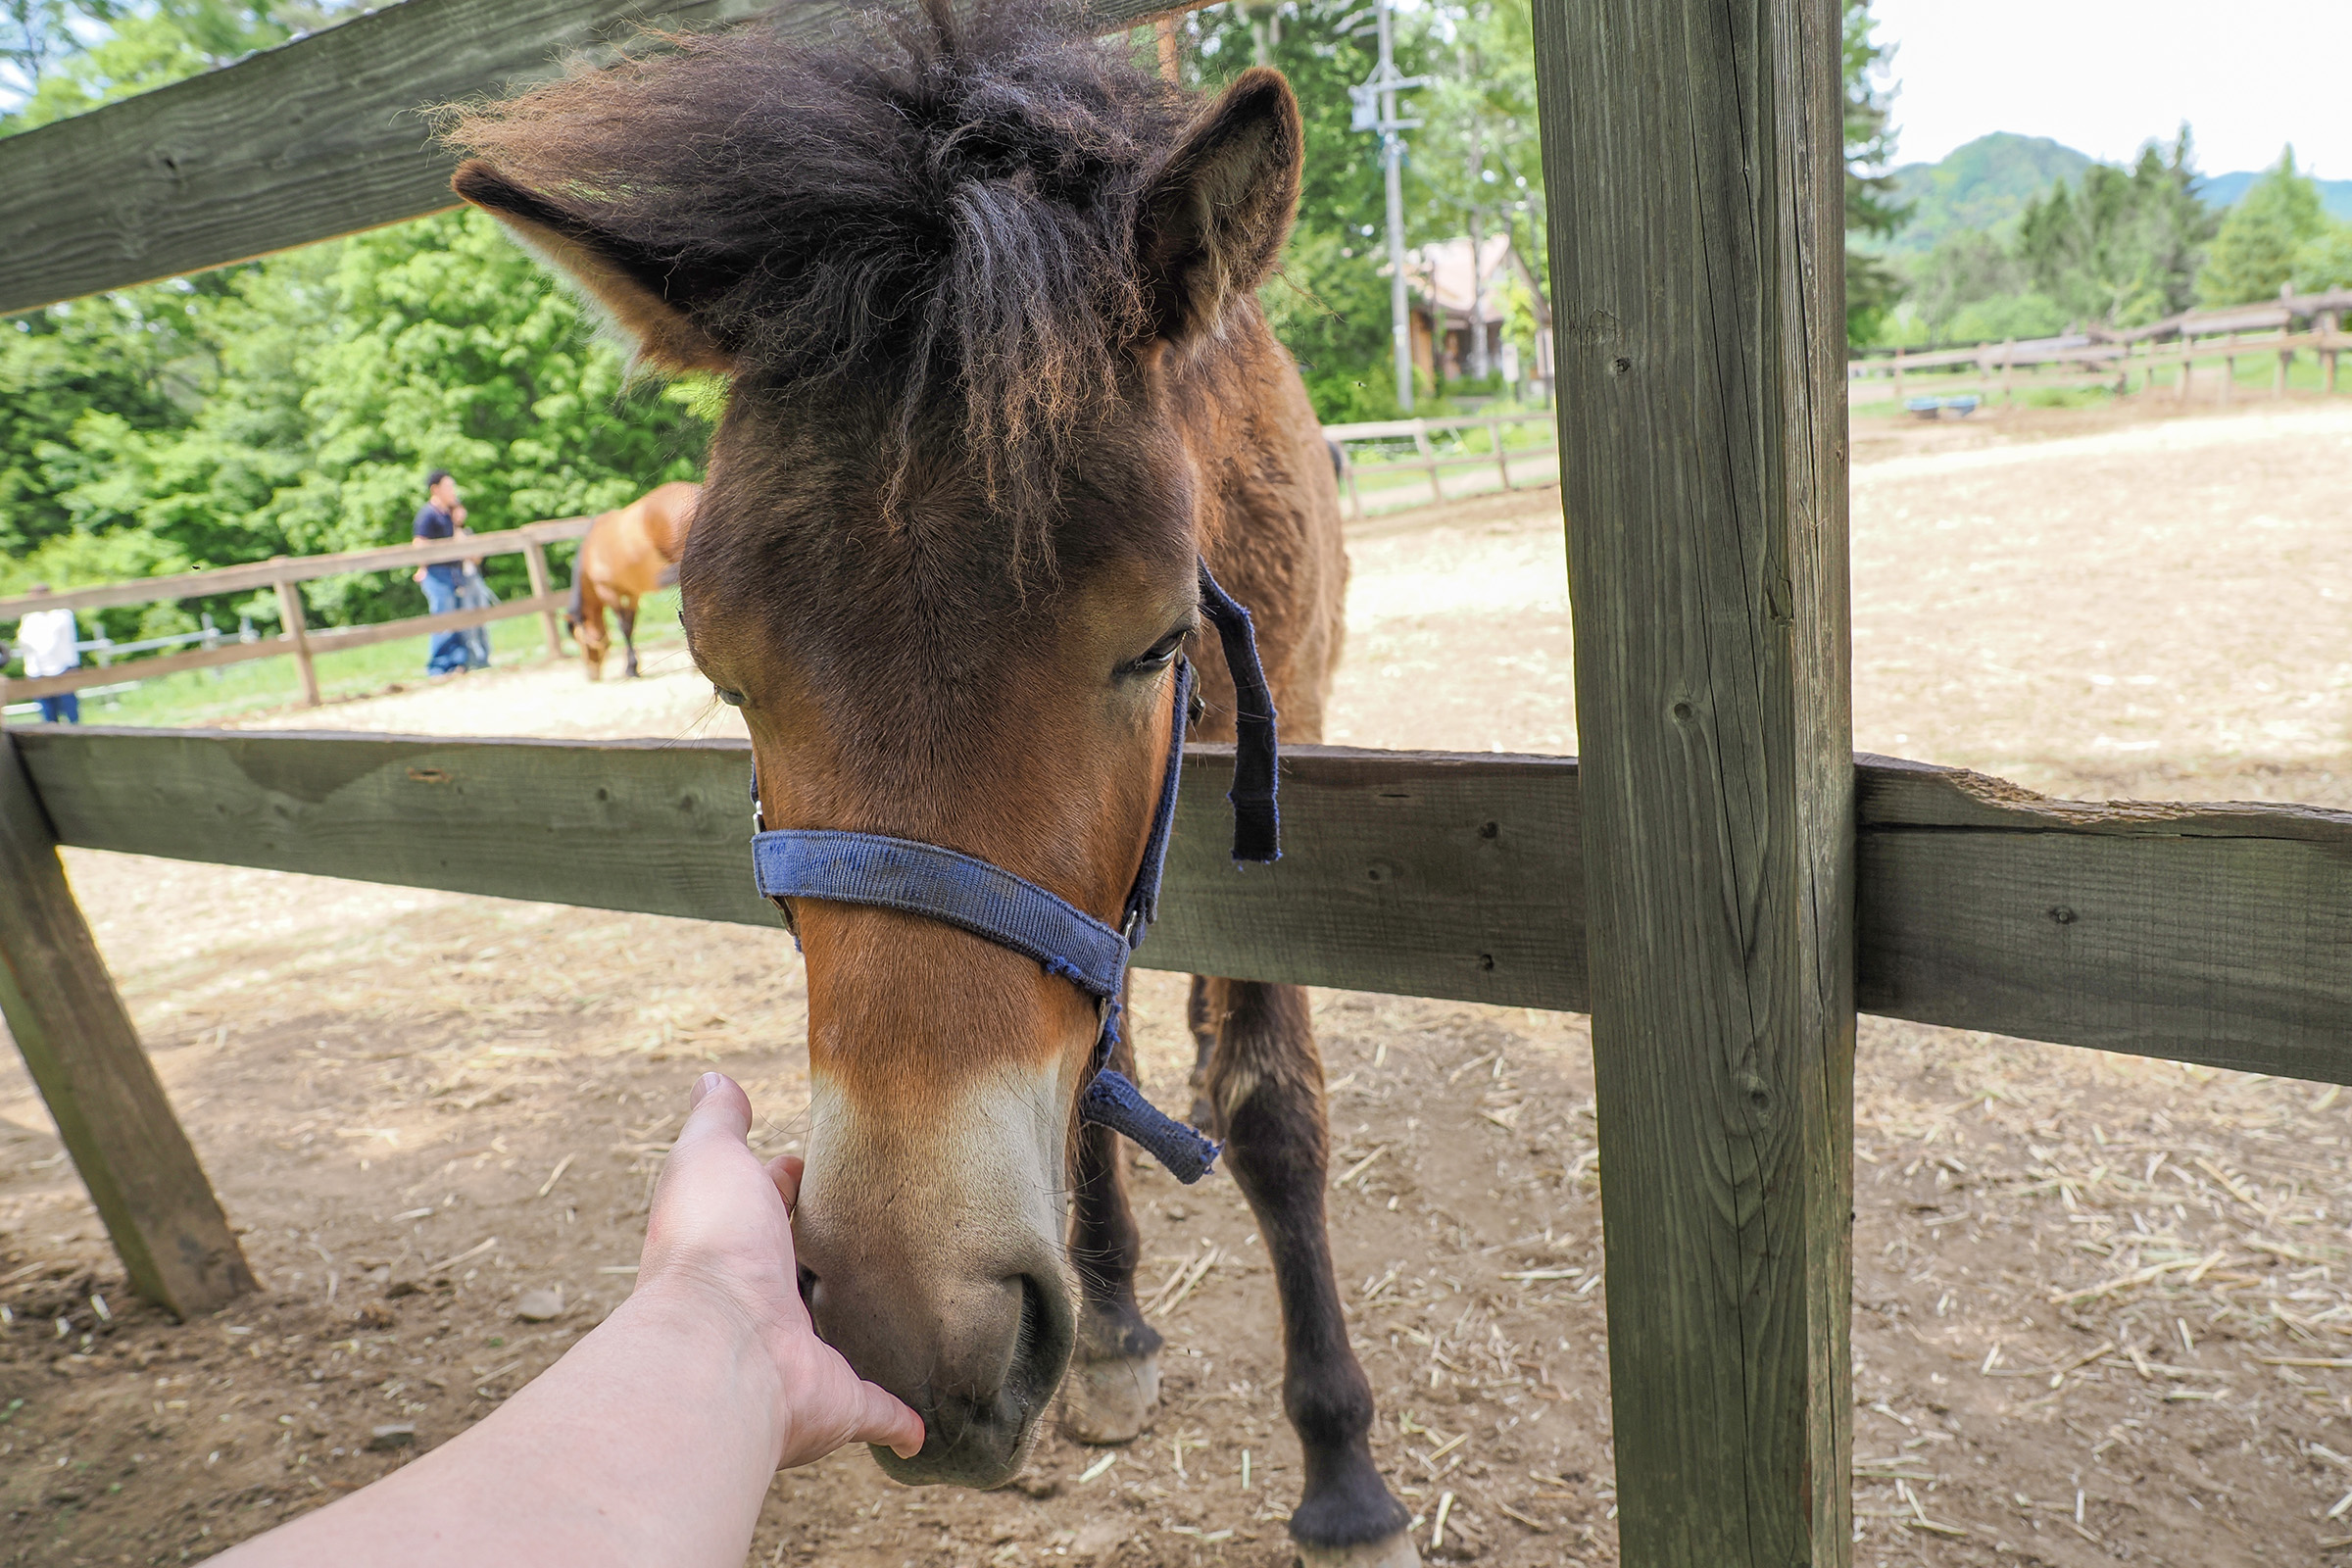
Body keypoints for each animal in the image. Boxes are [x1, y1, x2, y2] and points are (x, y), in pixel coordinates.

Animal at [565, 481, 699, 679]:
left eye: (582, 642)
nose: (592, 674)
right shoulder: (633, 593)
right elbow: (630, 623)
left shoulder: (608, 590)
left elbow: (624, 627)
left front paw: (630, 668)